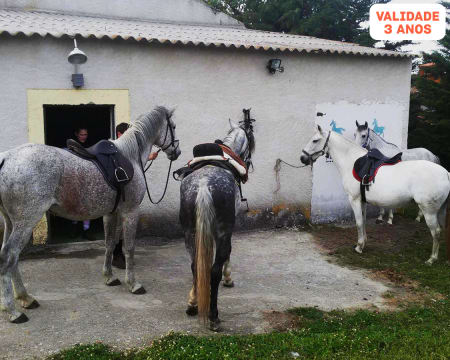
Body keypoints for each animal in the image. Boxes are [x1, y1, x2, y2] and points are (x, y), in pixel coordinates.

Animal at [0, 105, 179, 322]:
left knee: (10, 256)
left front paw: (109, 277)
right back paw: (14, 311)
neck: (130, 156)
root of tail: (6, 157)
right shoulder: (130, 212)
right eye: (173, 126)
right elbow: (129, 248)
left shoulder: (111, 213)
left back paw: (25, 298)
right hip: (26, 221)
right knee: (9, 256)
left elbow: (109, 244)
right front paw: (133, 284)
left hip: (11, 222)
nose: (177, 152)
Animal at [180, 119, 256, 332]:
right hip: (222, 231)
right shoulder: (227, 230)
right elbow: (227, 255)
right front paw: (228, 278)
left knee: (195, 266)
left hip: (190, 232)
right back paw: (213, 316)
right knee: (213, 270)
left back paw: (193, 304)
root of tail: (204, 184)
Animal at [300, 126, 448, 264]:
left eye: (315, 140)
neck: (351, 162)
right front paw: (364, 242)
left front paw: (359, 247)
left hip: (429, 211)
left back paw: (432, 259)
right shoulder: (363, 200)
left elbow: (359, 222)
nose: (302, 158)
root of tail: (446, 173)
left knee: (436, 232)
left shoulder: (354, 199)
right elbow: (364, 221)